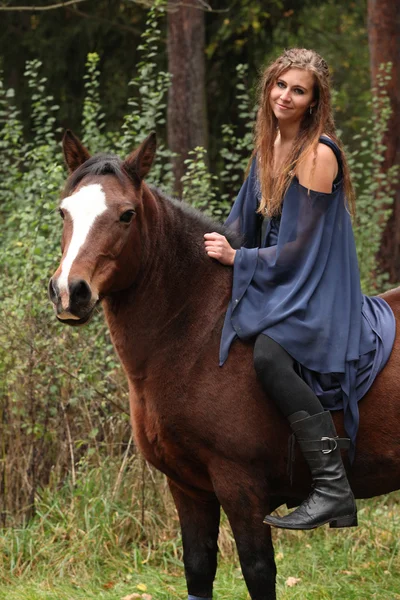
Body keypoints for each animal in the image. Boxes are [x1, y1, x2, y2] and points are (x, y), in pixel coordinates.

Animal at [49, 132, 400, 600]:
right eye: (64, 211)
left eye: (126, 215)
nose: (70, 292)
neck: (196, 334)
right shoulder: (188, 488)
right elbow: (198, 568)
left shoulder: (241, 488)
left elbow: (257, 571)